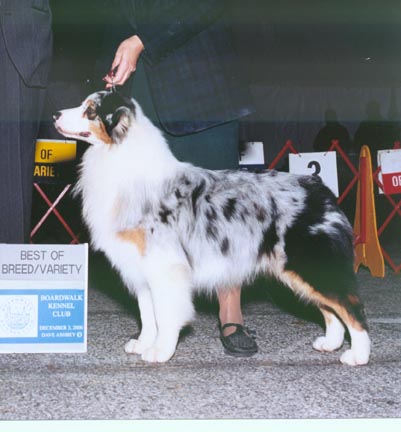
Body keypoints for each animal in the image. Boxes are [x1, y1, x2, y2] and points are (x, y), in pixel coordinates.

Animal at [54, 90, 371, 365]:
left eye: (90, 110)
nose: (55, 114)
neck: (119, 158)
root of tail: (318, 186)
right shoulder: (141, 266)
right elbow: (147, 313)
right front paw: (144, 343)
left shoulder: (165, 266)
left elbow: (165, 313)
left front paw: (161, 351)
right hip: (298, 270)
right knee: (331, 309)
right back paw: (330, 343)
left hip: (311, 264)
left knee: (351, 307)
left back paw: (358, 355)